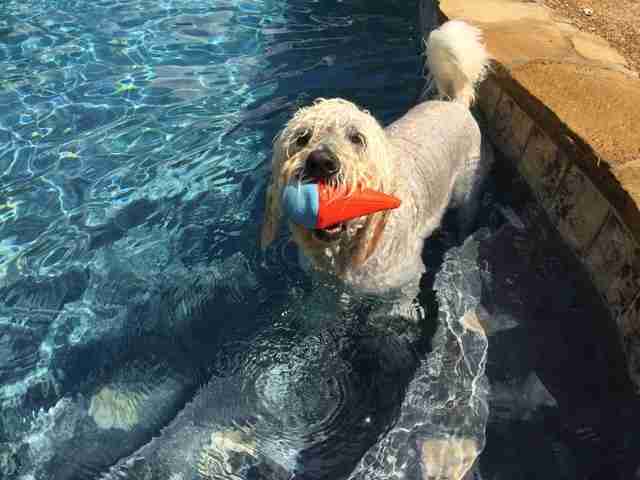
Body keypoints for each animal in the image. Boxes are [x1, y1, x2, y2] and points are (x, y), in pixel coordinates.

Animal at [262, 22, 492, 298]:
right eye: (302, 137)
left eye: (356, 138)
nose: (321, 162)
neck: (346, 251)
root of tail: (456, 104)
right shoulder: (325, 284)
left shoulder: (403, 283)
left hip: (467, 191)